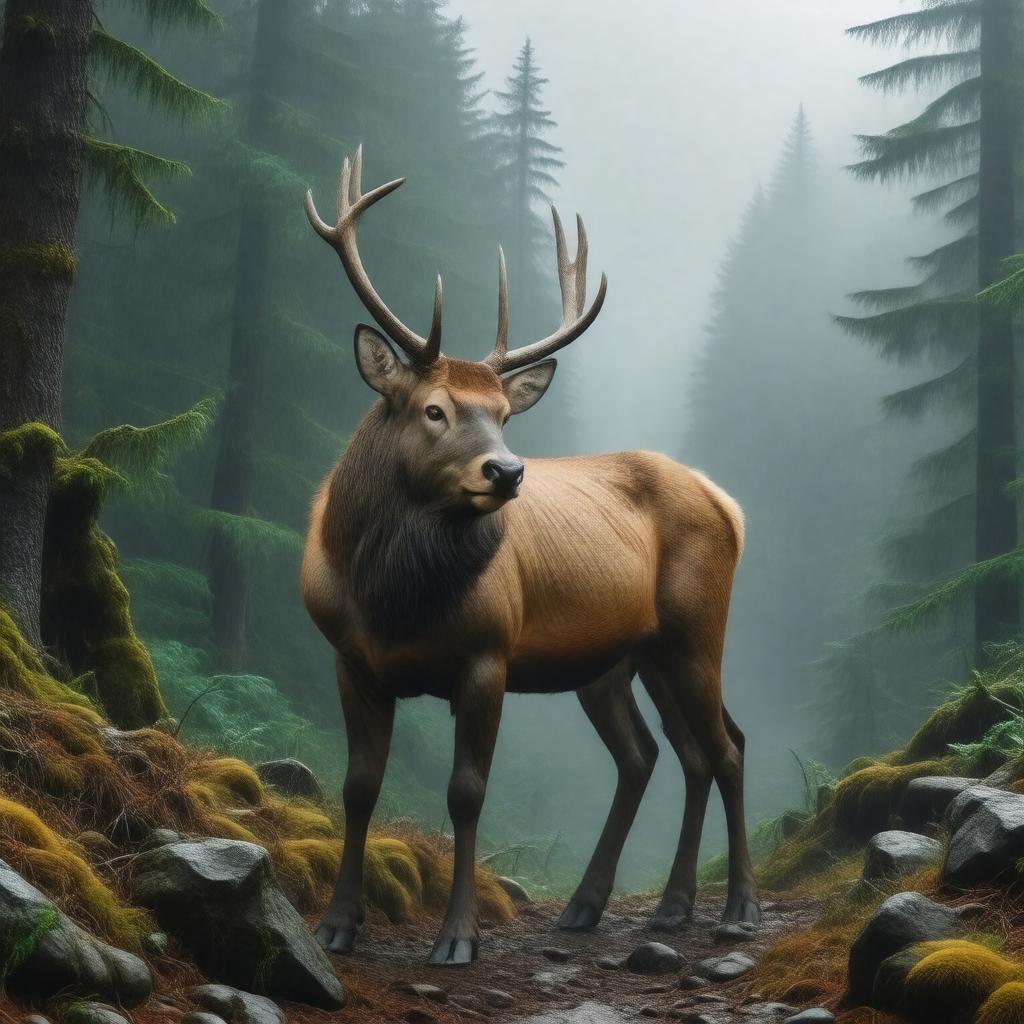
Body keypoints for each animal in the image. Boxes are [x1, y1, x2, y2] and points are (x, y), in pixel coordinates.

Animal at [300, 147, 760, 966]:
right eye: (435, 409)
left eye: (504, 415)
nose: (508, 472)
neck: (389, 597)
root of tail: (725, 502)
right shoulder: (350, 658)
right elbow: (358, 785)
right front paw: (337, 924)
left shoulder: (489, 654)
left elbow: (466, 792)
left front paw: (457, 938)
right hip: (623, 658)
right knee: (663, 753)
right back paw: (631, 906)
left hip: (696, 630)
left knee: (726, 746)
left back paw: (737, 907)